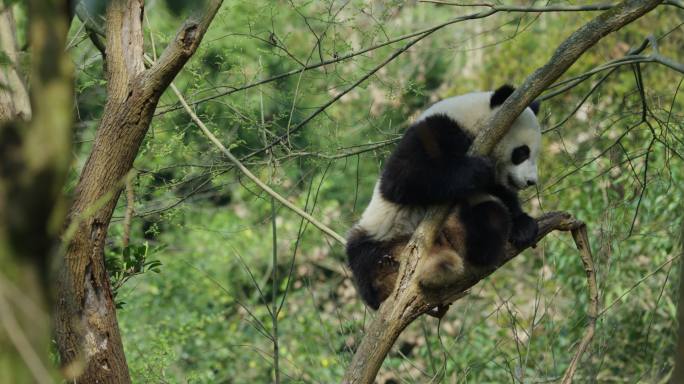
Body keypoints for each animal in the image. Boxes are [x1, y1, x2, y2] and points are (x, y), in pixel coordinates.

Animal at [348, 84, 540, 308]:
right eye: (522, 152)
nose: (531, 181)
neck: (472, 123)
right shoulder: (434, 131)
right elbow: (402, 178)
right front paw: (477, 169)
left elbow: (502, 194)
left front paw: (524, 226)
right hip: (379, 234)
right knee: (361, 257)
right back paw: (384, 277)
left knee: (492, 215)